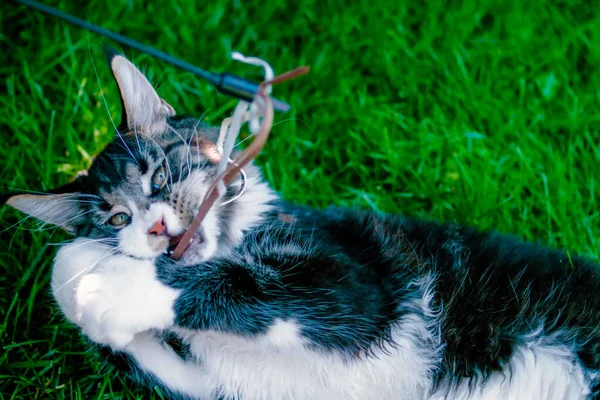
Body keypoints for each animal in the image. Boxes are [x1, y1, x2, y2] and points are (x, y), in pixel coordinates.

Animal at [4, 54, 600, 400]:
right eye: (116, 217)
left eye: (159, 175)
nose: (152, 228)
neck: (236, 236)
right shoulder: (221, 387)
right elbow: (173, 368)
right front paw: (84, 276)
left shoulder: (359, 280)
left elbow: (258, 286)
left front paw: (104, 284)